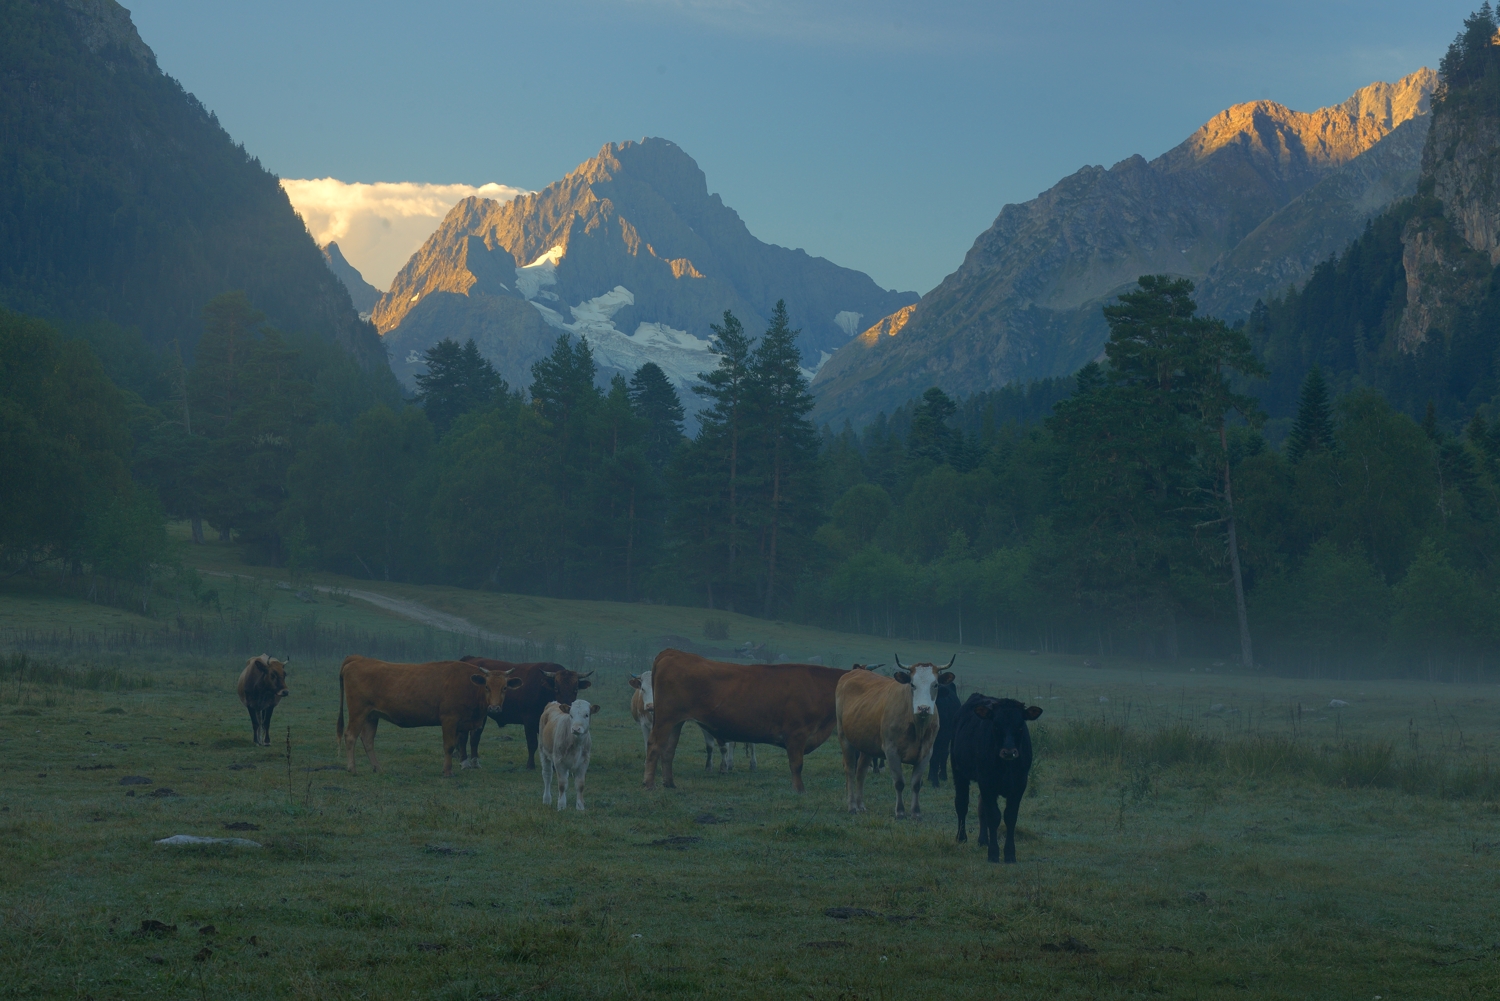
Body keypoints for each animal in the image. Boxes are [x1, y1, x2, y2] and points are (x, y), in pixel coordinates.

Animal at [337, 660, 525, 780]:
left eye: (505, 688)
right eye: (486, 686)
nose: (494, 708)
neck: (470, 686)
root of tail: (356, 661)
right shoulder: (449, 719)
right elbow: (449, 746)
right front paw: (447, 772)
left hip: (371, 716)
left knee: (368, 740)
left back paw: (378, 768)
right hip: (358, 712)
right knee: (350, 736)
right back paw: (352, 768)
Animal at [459, 654, 588, 774]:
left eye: (575, 689)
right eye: (556, 688)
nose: (566, 707)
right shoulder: (529, 721)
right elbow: (532, 743)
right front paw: (530, 765)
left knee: (474, 737)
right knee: (464, 737)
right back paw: (465, 762)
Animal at [639, 651, 846, 798]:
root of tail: (673, 653)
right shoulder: (797, 733)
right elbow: (797, 764)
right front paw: (799, 789)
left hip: (675, 722)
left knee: (668, 750)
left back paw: (670, 783)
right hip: (665, 719)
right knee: (654, 747)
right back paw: (649, 784)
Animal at [834, 654, 948, 816]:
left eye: (936, 685)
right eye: (912, 684)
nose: (923, 708)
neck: (917, 727)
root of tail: (854, 672)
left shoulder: (926, 753)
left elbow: (916, 784)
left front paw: (916, 813)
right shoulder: (891, 751)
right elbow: (899, 782)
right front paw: (900, 812)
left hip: (867, 744)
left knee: (861, 772)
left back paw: (861, 805)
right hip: (844, 737)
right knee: (850, 770)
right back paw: (852, 807)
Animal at [948, 696, 1044, 864]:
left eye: (1020, 726)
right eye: (996, 726)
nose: (1009, 752)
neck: (1006, 766)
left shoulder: (1019, 785)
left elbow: (1010, 816)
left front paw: (1010, 854)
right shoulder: (986, 783)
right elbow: (993, 816)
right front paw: (993, 853)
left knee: (981, 808)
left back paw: (983, 840)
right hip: (958, 771)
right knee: (961, 803)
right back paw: (961, 837)